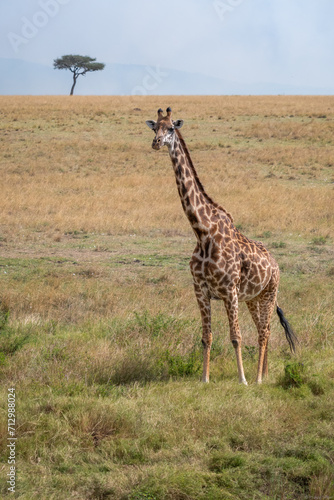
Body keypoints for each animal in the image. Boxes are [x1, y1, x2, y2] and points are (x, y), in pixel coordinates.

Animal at [145, 107, 296, 384]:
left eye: (171, 128)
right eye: (154, 128)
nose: (156, 143)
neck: (203, 232)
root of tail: (276, 263)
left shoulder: (229, 291)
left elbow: (235, 337)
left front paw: (242, 379)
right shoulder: (200, 290)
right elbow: (207, 337)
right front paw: (204, 379)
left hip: (270, 292)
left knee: (264, 330)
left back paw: (257, 379)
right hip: (253, 297)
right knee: (265, 329)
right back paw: (265, 373)